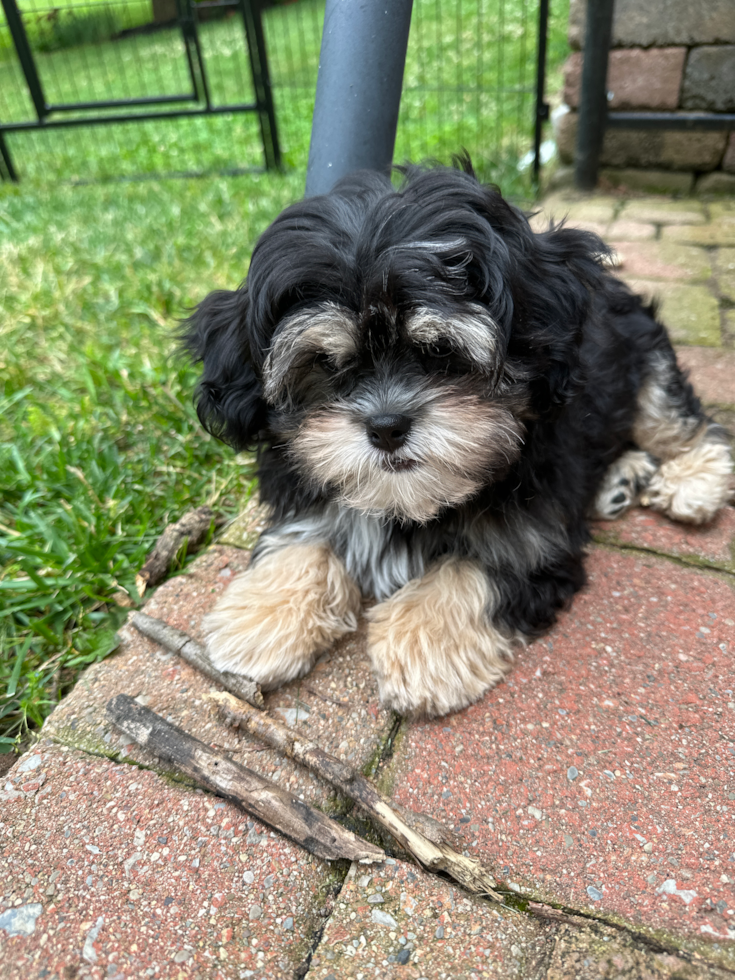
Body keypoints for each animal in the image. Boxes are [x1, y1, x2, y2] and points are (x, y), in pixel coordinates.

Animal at [181, 157, 732, 716]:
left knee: (687, 425)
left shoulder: (535, 538)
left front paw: (421, 647)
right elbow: (305, 537)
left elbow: (475, 569)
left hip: (646, 362)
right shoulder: (303, 484)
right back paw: (621, 479)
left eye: (440, 351)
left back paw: (691, 485)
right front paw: (263, 618)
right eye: (327, 363)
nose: (386, 427)